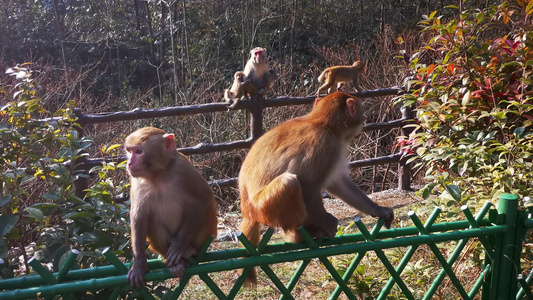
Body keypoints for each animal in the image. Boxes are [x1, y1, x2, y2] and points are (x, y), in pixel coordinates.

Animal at [123, 126, 217, 288]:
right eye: (129, 151)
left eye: (139, 151)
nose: (129, 163)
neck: (158, 175)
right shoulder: (137, 182)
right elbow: (139, 217)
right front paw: (139, 265)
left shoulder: (183, 170)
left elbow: (203, 200)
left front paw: (178, 246)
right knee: (152, 221)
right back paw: (176, 263)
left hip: (203, 237)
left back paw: (188, 251)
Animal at [239, 92, 392, 288]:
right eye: (361, 112)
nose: (364, 121)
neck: (322, 122)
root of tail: (247, 211)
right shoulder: (326, 146)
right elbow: (308, 185)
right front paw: (328, 222)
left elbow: (338, 184)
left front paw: (380, 210)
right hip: (264, 207)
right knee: (290, 182)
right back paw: (299, 236)